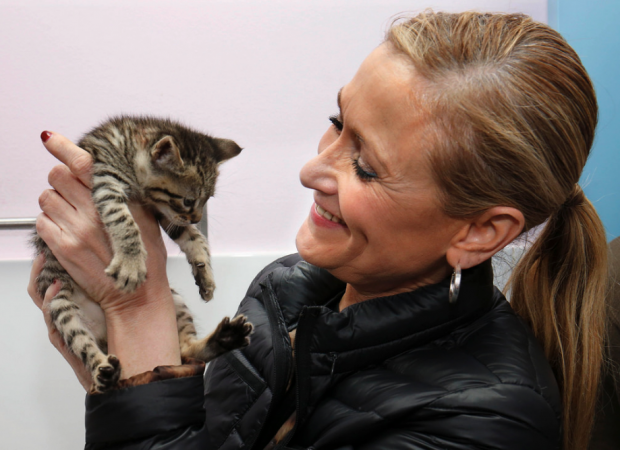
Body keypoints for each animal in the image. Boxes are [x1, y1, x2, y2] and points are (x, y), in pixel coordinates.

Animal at [33, 117, 252, 394]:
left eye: (207, 200)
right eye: (188, 200)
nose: (198, 218)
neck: (132, 145)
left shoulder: (164, 211)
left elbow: (191, 236)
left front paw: (204, 271)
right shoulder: (105, 178)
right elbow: (123, 220)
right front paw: (131, 264)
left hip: (174, 300)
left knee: (185, 351)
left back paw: (224, 338)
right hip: (60, 305)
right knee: (83, 344)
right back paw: (103, 371)